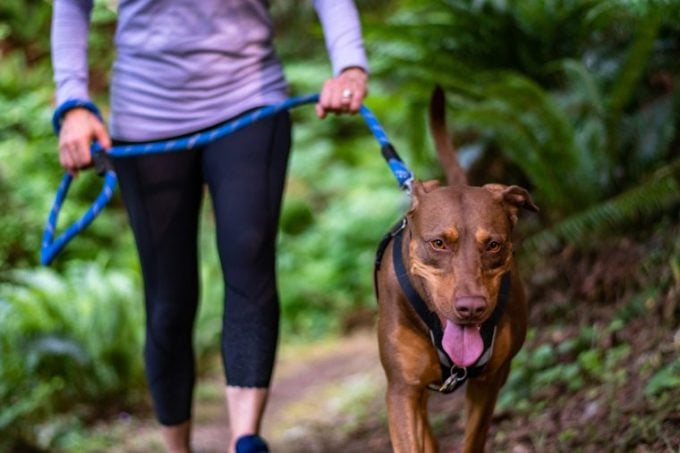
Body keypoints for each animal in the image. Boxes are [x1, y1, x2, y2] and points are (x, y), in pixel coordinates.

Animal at [374, 86, 540, 450]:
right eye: (439, 243)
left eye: (493, 244)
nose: (471, 308)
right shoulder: (402, 389)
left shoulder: (490, 381)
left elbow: (473, 439)